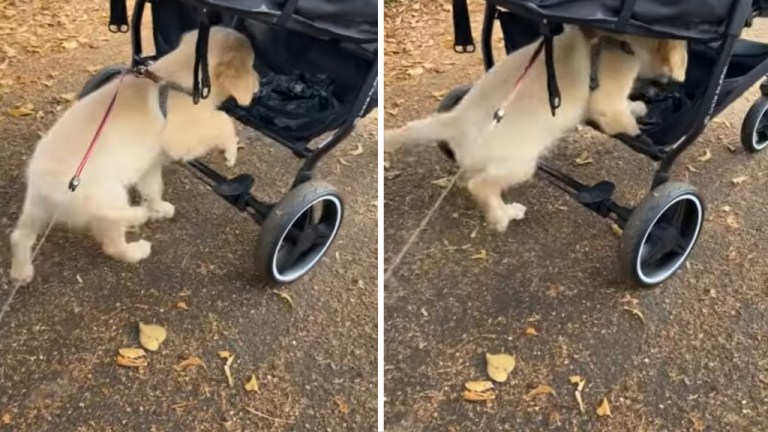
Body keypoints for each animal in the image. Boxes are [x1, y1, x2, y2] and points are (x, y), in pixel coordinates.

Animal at [10, 26, 260, 284]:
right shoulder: (180, 138)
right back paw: (136, 242)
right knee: (112, 242)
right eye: (253, 66)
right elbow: (222, 120)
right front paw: (230, 152)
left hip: (35, 207)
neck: (176, 83)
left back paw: (21, 272)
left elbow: (153, 189)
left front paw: (158, 208)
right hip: (108, 196)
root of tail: (49, 190)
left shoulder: (150, 165)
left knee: (19, 235)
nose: (260, 86)